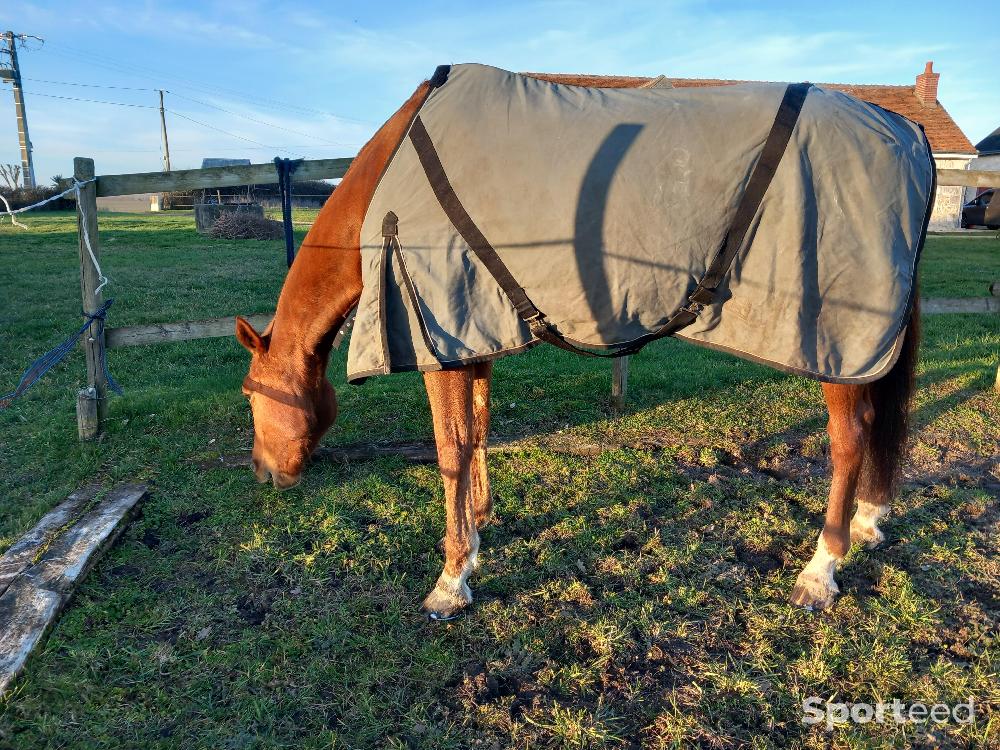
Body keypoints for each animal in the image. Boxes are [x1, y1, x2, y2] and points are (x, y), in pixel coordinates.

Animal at [234, 76, 916, 620]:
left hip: (837, 349)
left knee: (851, 439)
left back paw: (821, 570)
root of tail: (902, 130)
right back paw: (868, 519)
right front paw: (479, 529)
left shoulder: (437, 333)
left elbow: (451, 450)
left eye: (248, 394)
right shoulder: (471, 327)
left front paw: (450, 581)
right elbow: (478, 428)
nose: (265, 474)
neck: (388, 177)